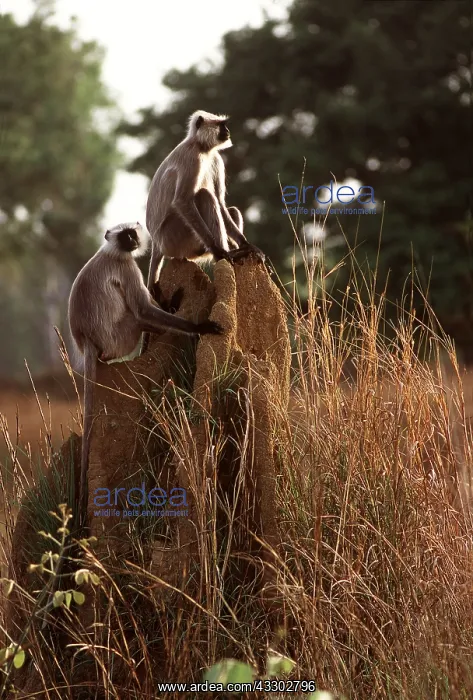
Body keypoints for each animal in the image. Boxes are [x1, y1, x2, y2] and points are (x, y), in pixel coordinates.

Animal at [68, 222, 222, 527]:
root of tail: (88, 343)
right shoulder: (127, 267)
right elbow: (141, 308)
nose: (132, 240)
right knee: (138, 316)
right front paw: (199, 327)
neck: (113, 252)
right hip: (122, 337)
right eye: (124, 235)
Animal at [145, 109, 265, 295]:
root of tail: (156, 243)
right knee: (204, 196)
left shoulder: (216, 158)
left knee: (230, 209)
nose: (227, 131)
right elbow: (182, 200)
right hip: (174, 238)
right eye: (221, 125)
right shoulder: (192, 158)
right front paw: (218, 250)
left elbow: (221, 202)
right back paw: (222, 255)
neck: (202, 147)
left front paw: (247, 245)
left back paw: (238, 251)